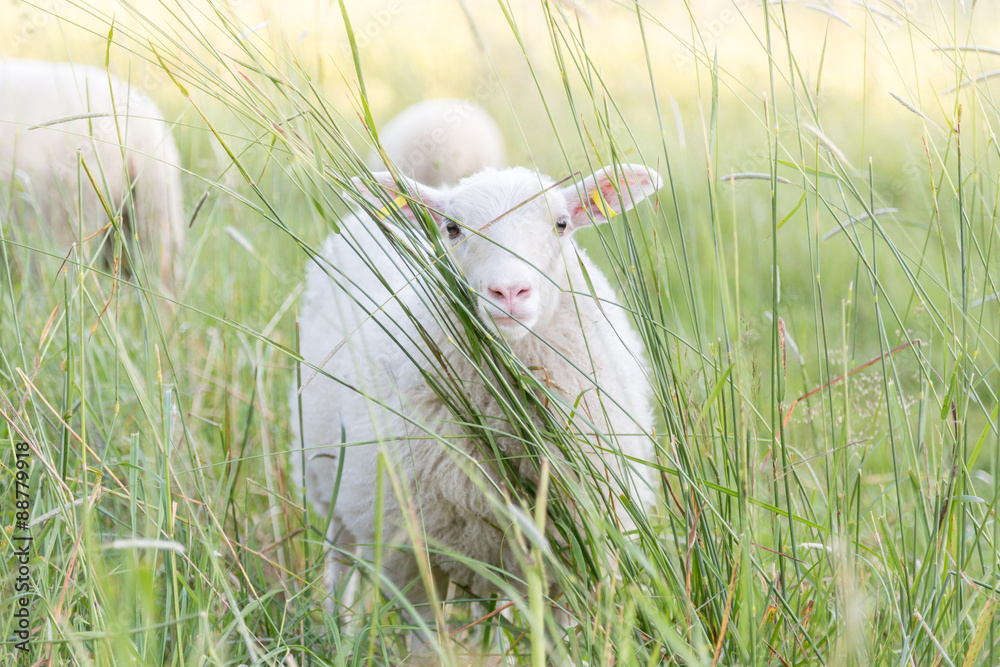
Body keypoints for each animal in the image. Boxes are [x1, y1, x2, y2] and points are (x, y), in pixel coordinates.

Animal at [292, 163, 662, 628]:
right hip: (327, 478)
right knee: (340, 562)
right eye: (452, 228)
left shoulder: (579, 550)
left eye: (562, 224)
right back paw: (338, 628)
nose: (510, 293)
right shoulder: (415, 552)